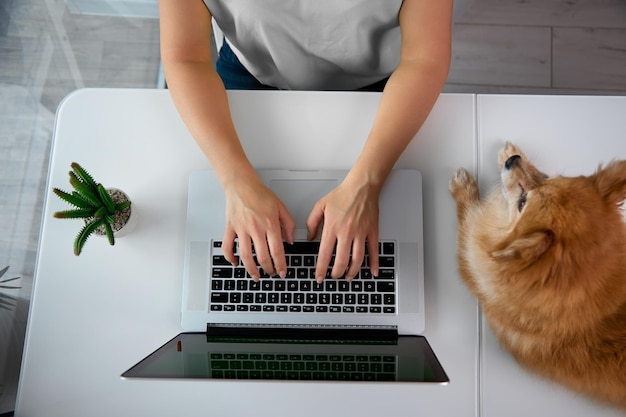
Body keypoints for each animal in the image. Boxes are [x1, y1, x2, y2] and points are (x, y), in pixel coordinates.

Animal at [448, 142, 624, 406]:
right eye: (549, 177)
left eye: (522, 204)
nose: (512, 160)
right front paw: (509, 152)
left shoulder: (474, 268)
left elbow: (468, 218)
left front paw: (463, 186)